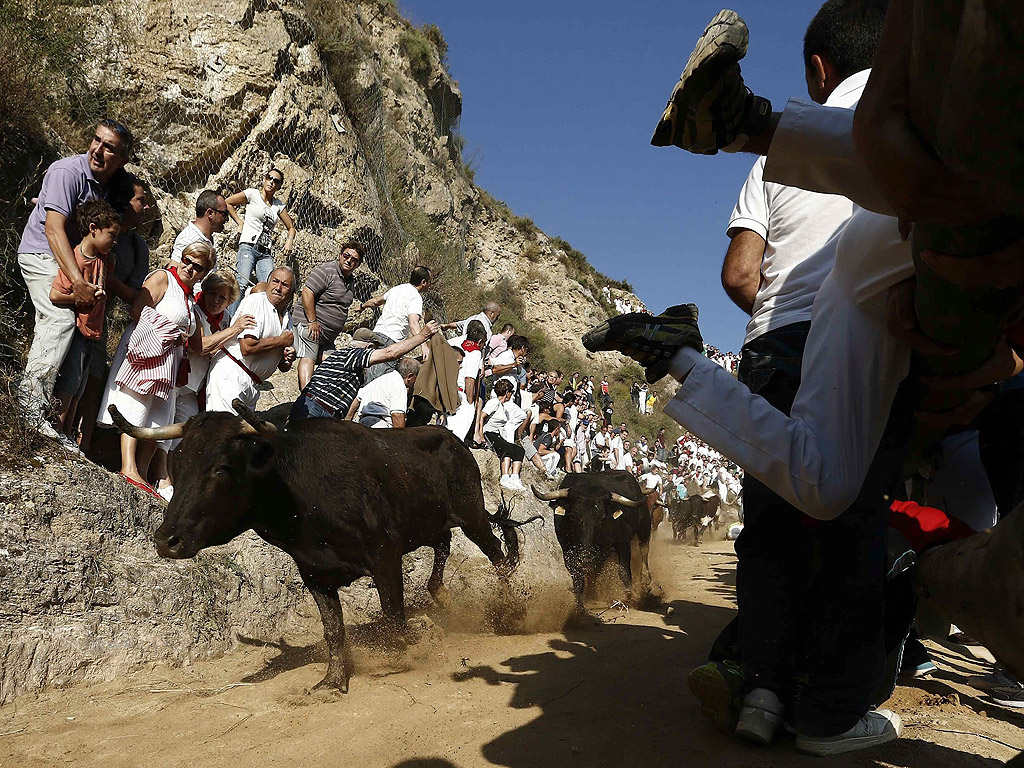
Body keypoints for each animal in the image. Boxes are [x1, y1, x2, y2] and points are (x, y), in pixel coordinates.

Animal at [105, 405, 536, 696]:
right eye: (175, 465)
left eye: (222, 467)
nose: (166, 540)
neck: (301, 496)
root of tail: (455, 440)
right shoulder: (315, 574)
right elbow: (333, 630)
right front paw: (333, 680)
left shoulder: (385, 556)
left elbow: (393, 617)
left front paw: (407, 649)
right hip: (433, 523)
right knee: (444, 548)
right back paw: (441, 595)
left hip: (471, 514)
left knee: (498, 556)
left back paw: (509, 612)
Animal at [532, 468, 651, 618]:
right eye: (573, 516)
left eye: (602, 518)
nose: (585, 557)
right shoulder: (567, 549)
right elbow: (578, 577)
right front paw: (579, 605)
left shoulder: (622, 542)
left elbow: (623, 570)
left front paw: (631, 597)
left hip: (644, 527)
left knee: (644, 550)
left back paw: (646, 581)